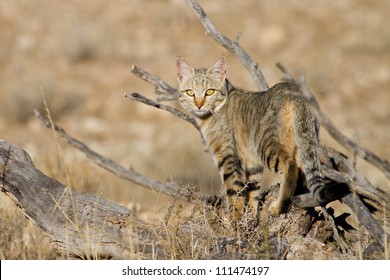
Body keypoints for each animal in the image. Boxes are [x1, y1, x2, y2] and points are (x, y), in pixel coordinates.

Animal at [176, 55, 326, 220]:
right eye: (190, 92)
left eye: (209, 92)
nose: (199, 105)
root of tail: (293, 88)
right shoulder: (252, 164)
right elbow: (251, 192)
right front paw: (250, 218)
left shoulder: (228, 158)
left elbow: (234, 193)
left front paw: (235, 220)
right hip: (305, 141)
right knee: (302, 173)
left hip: (265, 144)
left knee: (290, 166)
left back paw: (279, 207)